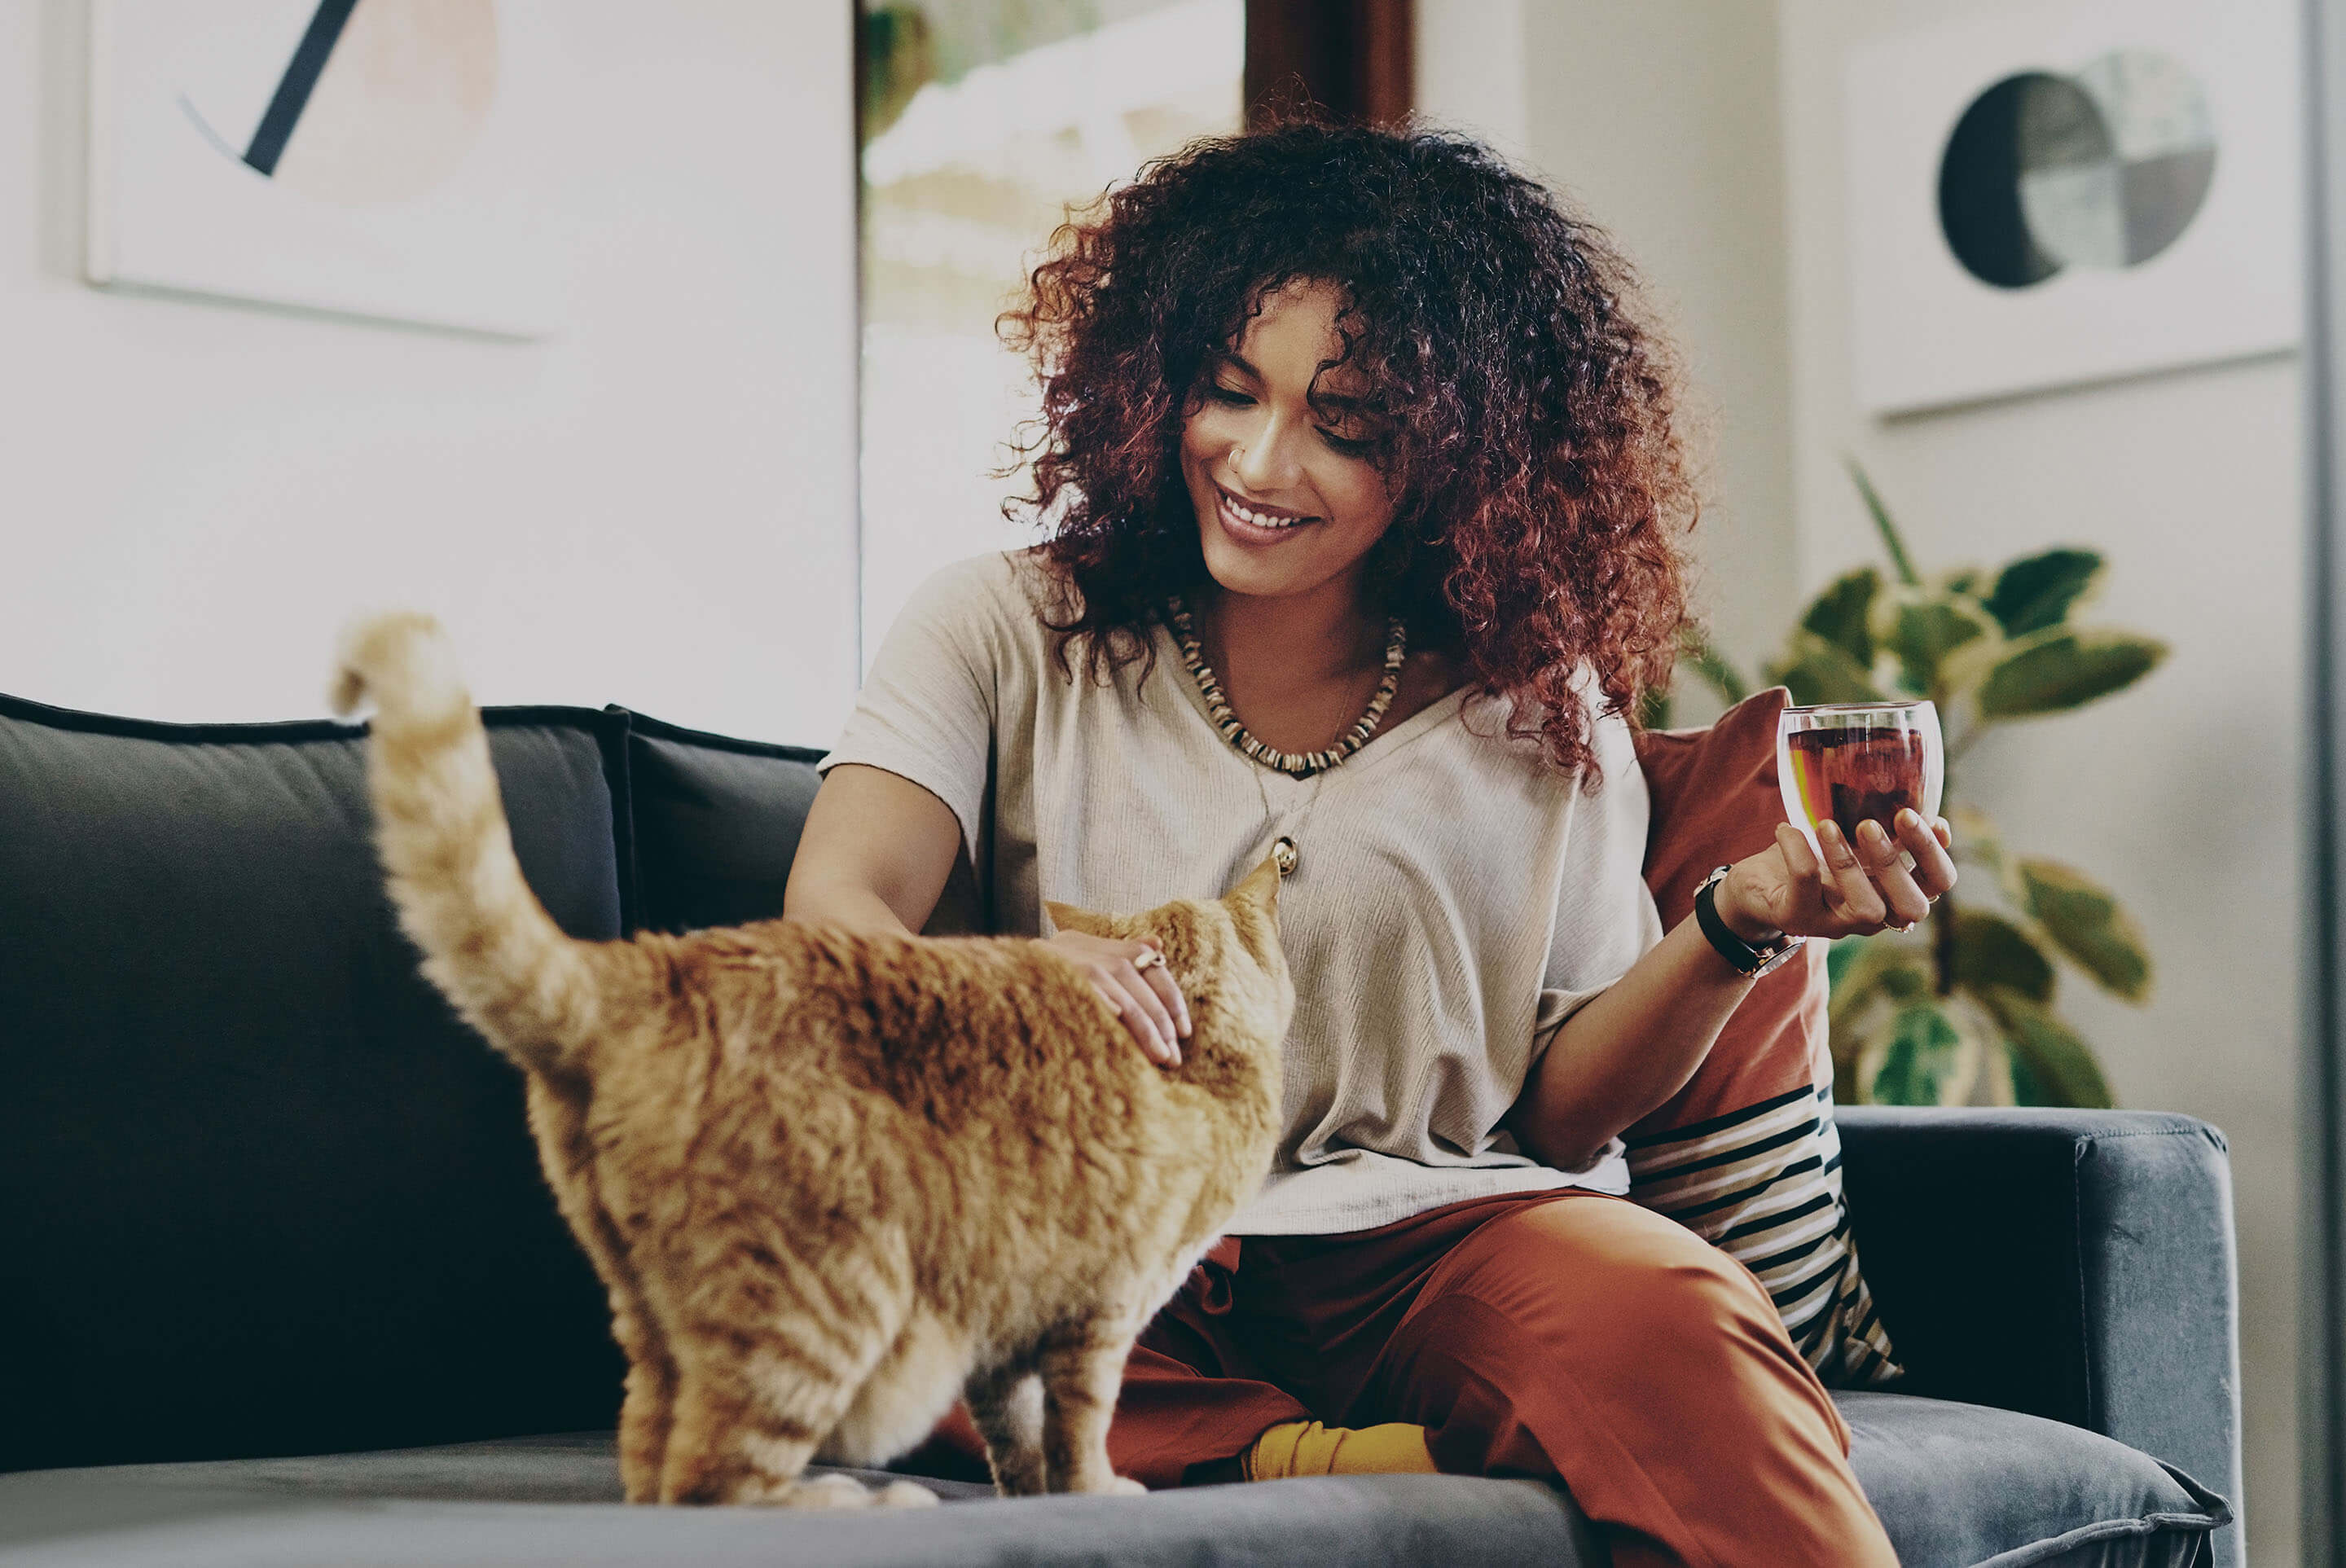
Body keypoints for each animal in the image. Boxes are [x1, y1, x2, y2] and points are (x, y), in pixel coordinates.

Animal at [328, 610, 1294, 1502]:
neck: (1197, 1056)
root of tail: (653, 964)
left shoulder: (1004, 1320)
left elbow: (1018, 1434)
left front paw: (1033, 1496)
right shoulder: (1098, 1309)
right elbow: (1082, 1423)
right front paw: (1093, 1493)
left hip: (656, 1321)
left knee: (651, 1467)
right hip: (827, 1303)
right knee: (715, 1482)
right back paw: (860, 1500)